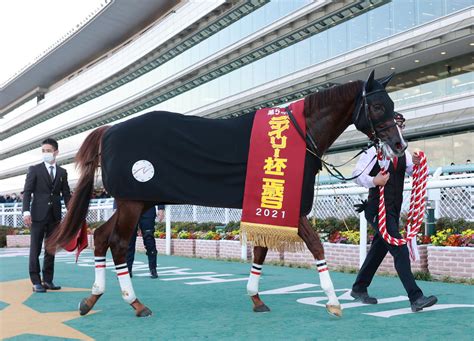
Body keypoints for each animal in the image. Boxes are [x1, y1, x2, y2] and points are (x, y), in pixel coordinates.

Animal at [46, 70, 406, 318]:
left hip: (133, 201)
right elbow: (316, 246)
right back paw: (136, 303)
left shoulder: (267, 207)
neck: (298, 136)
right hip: (133, 201)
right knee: (118, 244)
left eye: (393, 105)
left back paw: (92, 297)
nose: (399, 145)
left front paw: (256, 298)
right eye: (377, 105)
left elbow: (260, 251)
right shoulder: (289, 206)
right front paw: (332, 302)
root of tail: (110, 129)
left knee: (102, 237)